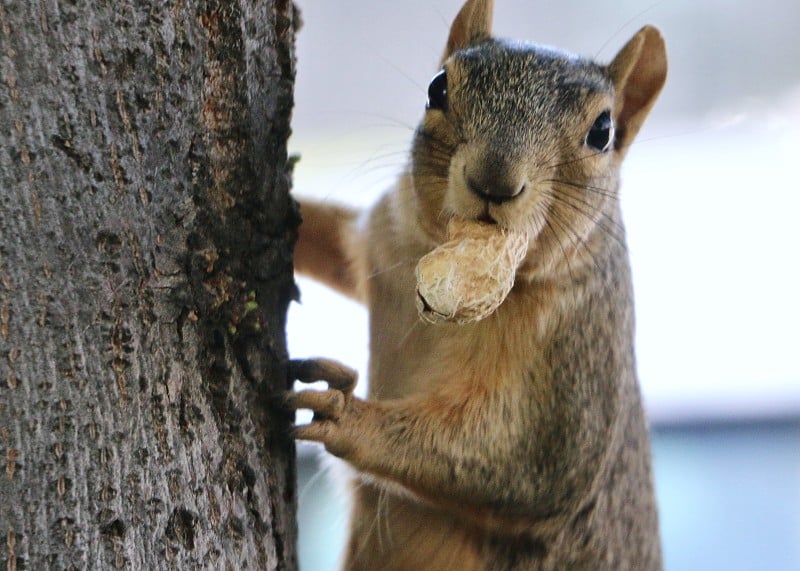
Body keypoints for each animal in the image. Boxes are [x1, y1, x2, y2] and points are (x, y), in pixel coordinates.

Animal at [290, 2, 668, 568]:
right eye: (437, 88)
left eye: (603, 131)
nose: (494, 181)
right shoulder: (383, 243)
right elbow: (331, 242)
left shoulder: (574, 374)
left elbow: (518, 469)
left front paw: (345, 415)